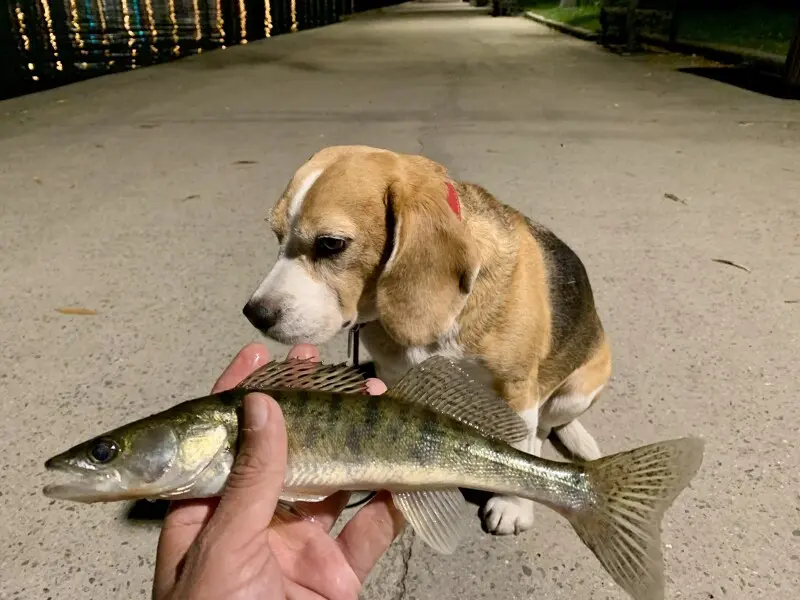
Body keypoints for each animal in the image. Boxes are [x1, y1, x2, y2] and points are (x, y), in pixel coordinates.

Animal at [244, 144, 612, 536]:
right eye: (277, 235)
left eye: (331, 244)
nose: (255, 313)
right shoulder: (393, 374)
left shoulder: (517, 387)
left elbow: (519, 442)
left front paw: (513, 505)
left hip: (573, 393)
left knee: (545, 426)